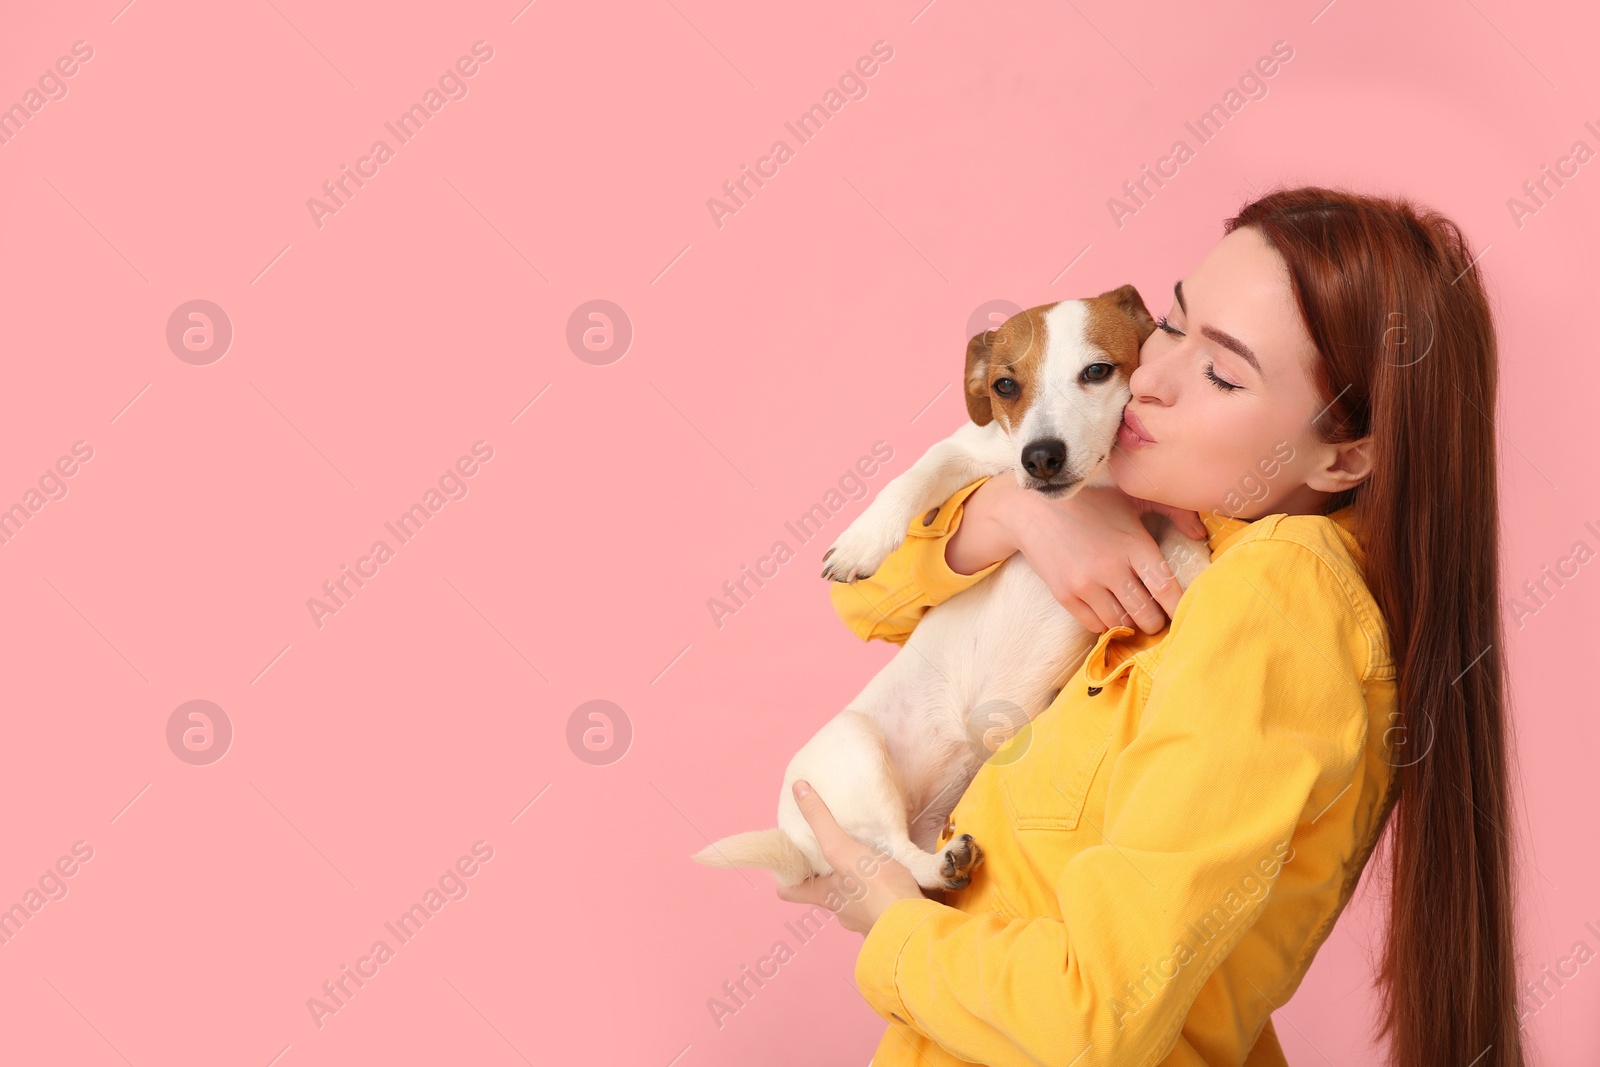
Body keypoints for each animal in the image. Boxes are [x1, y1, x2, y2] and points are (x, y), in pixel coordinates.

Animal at [688, 283, 1209, 895]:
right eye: (1005, 386)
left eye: (1098, 371)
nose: (1040, 457)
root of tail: (796, 842)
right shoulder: (967, 450)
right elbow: (913, 477)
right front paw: (862, 543)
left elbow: (1180, 536)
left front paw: (1199, 568)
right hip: (856, 750)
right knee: (890, 856)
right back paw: (943, 862)